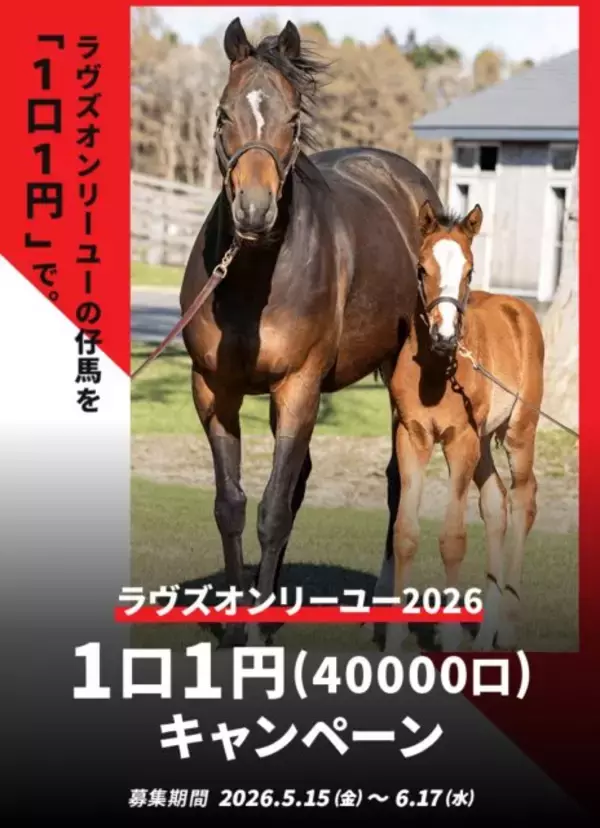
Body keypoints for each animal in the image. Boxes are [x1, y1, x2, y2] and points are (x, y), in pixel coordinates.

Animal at [179, 17, 443, 646]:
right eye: (222, 114)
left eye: (294, 119)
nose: (253, 212)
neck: (252, 282)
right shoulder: (213, 390)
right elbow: (232, 505)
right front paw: (237, 625)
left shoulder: (298, 385)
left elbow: (273, 510)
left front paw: (254, 635)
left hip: (398, 378)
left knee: (395, 484)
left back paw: (382, 617)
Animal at [381, 200, 544, 652]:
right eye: (422, 268)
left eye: (470, 271)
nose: (444, 335)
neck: (440, 370)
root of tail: (519, 308)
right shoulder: (412, 436)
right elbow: (405, 533)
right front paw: (396, 638)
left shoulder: (460, 441)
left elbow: (453, 538)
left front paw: (451, 635)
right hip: (485, 442)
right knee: (496, 504)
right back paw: (485, 631)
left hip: (517, 432)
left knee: (523, 500)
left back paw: (506, 626)